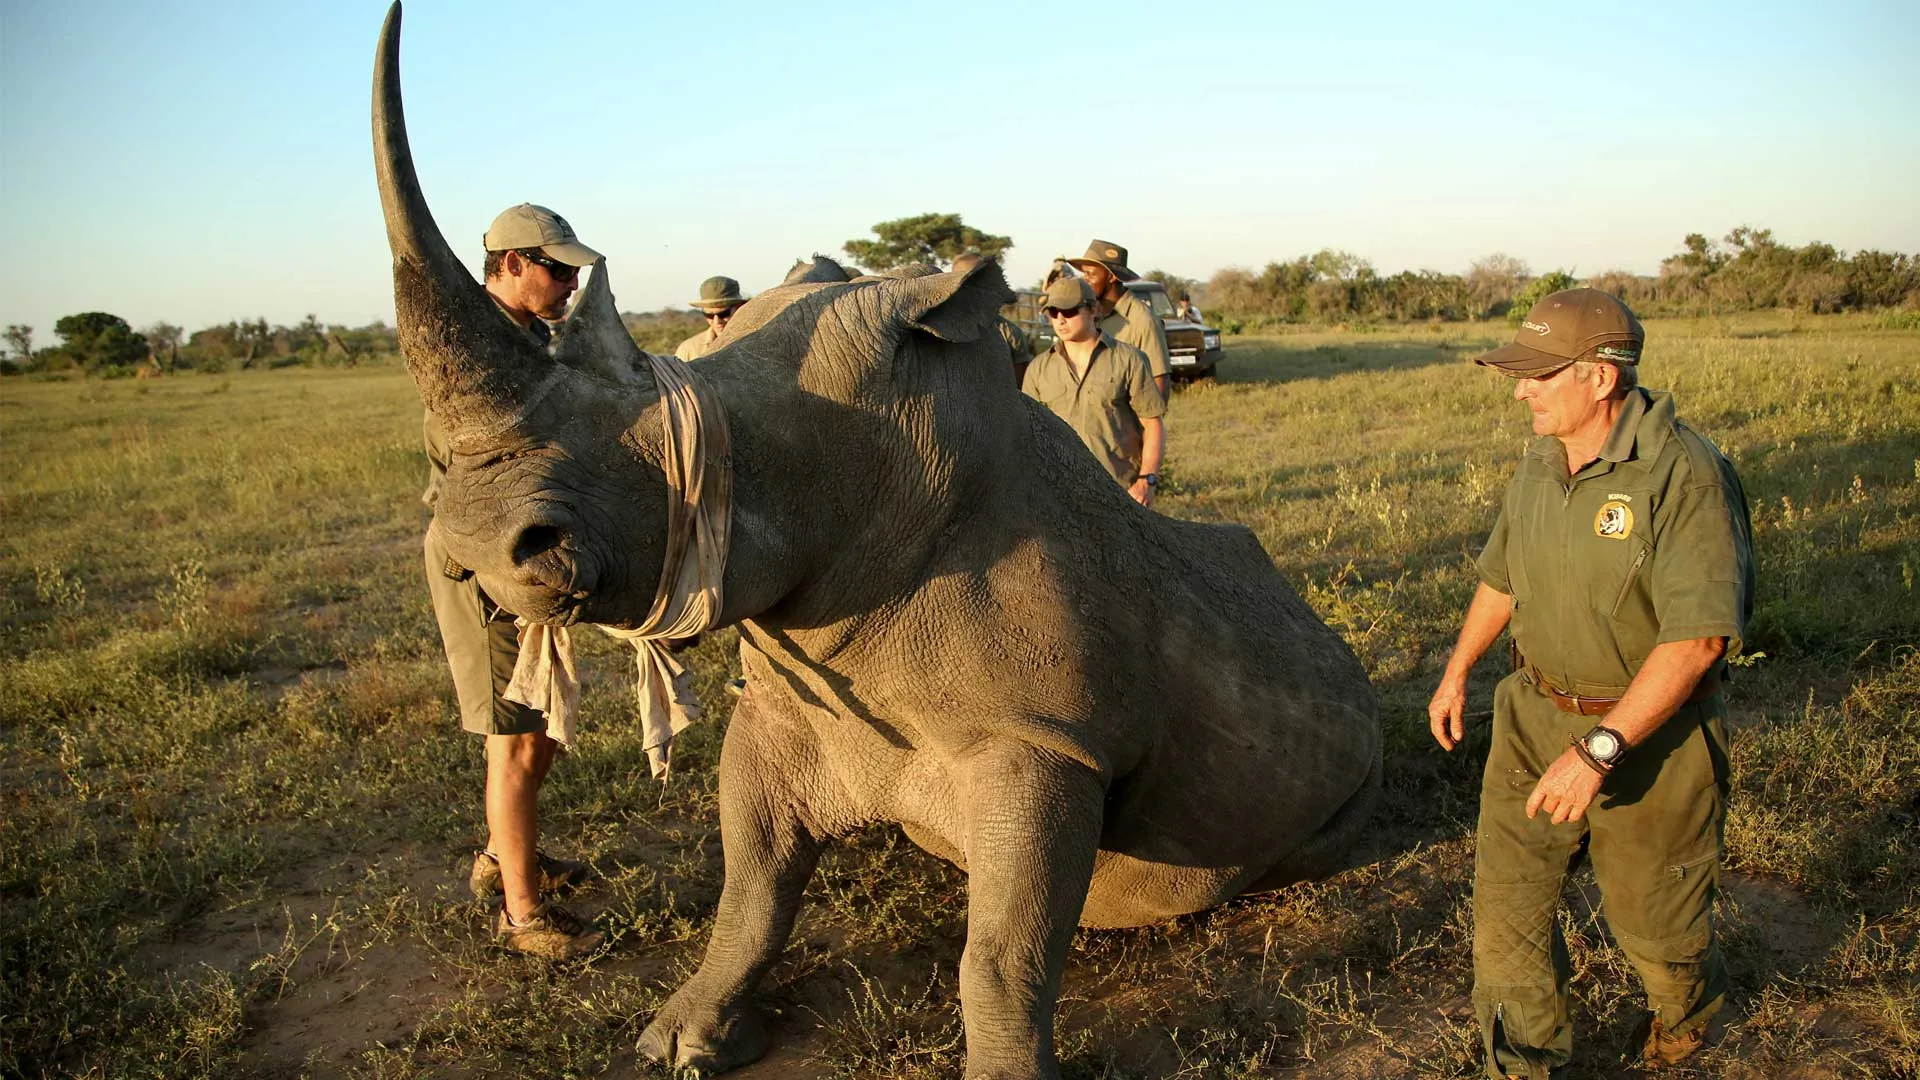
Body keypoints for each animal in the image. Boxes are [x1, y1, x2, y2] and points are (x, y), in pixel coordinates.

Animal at [371, 6, 1380, 1077]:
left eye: (703, 438)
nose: (476, 546)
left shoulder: (1044, 744)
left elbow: (1002, 953)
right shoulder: (786, 704)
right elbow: (752, 890)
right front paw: (680, 1040)